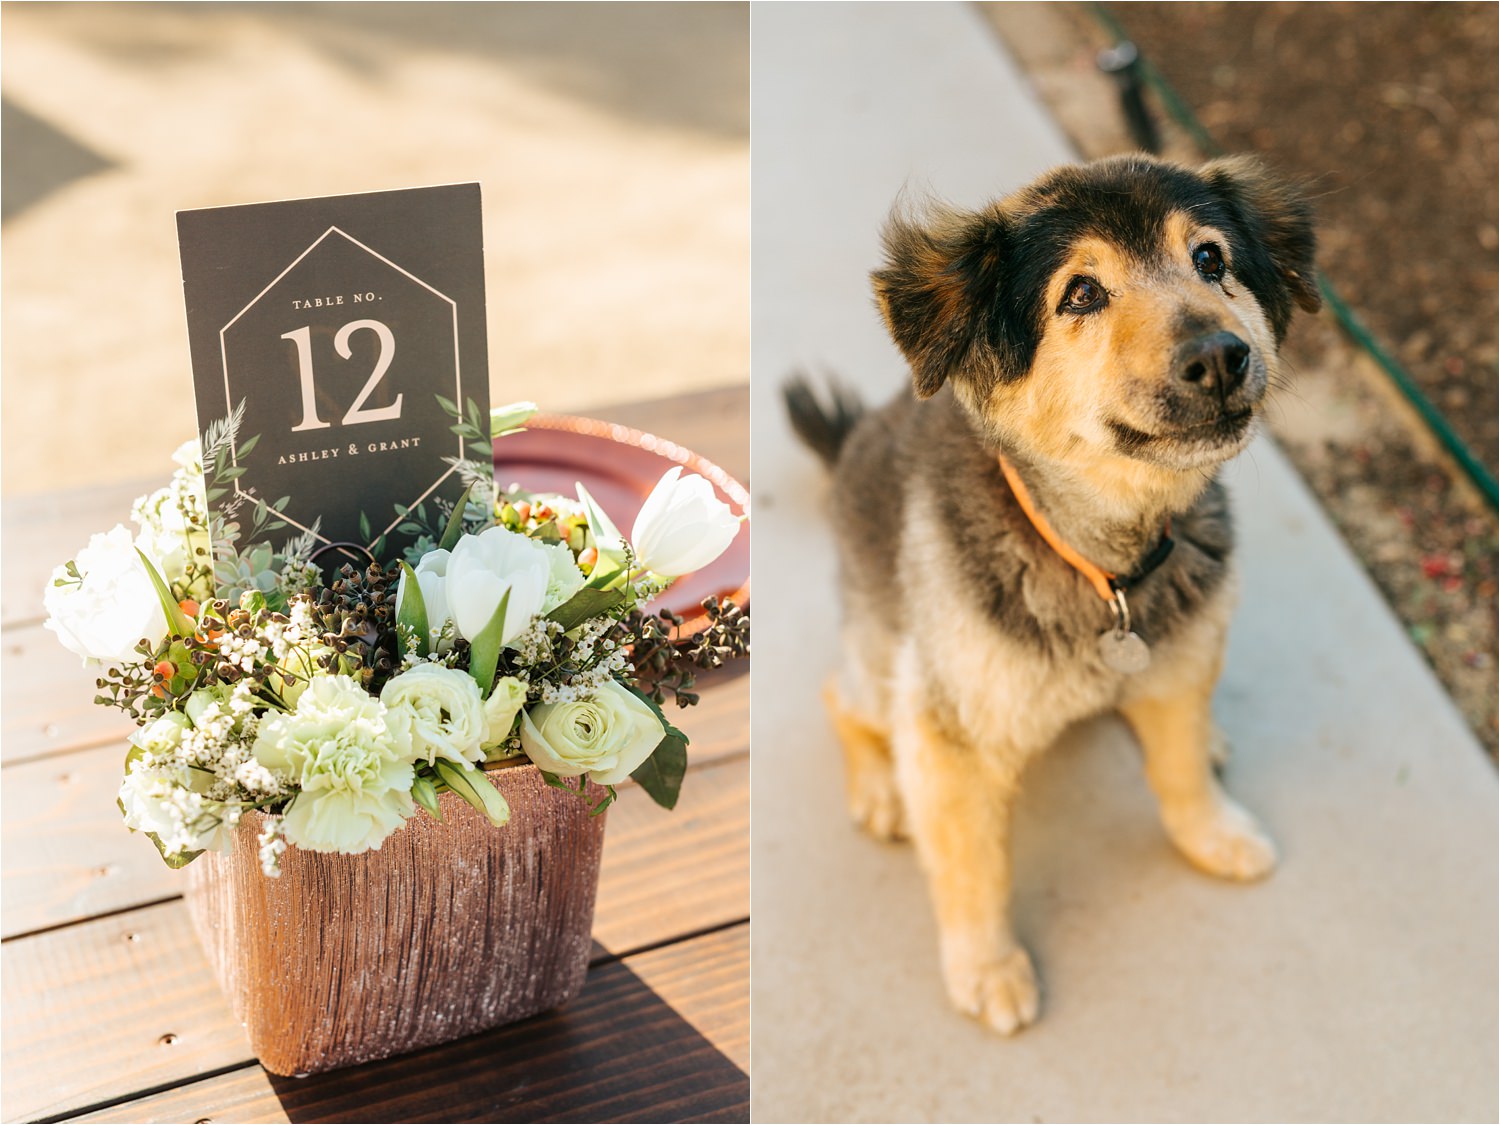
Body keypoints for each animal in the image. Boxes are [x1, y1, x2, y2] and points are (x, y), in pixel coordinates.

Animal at [792, 154, 1320, 1038]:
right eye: (1081, 293)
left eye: (1210, 259)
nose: (1220, 357)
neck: (1101, 562)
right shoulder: (947, 731)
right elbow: (972, 864)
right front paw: (987, 963)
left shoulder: (1182, 659)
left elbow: (1179, 767)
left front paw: (1210, 829)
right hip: (881, 657)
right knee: (842, 697)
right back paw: (880, 786)